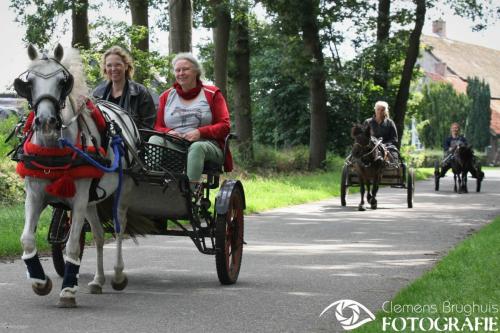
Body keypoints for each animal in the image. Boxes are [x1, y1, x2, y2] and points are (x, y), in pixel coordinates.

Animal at [14, 43, 140, 306]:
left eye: (63, 82)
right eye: (29, 82)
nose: (46, 121)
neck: (54, 148)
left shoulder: (79, 199)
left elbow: (72, 245)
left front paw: (68, 290)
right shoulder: (35, 195)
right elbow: (27, 239)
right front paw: (40, 281)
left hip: (122, 191)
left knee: (119, 229)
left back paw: (118, 275)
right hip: (92, 201)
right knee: (100, 236)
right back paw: (98, 281)